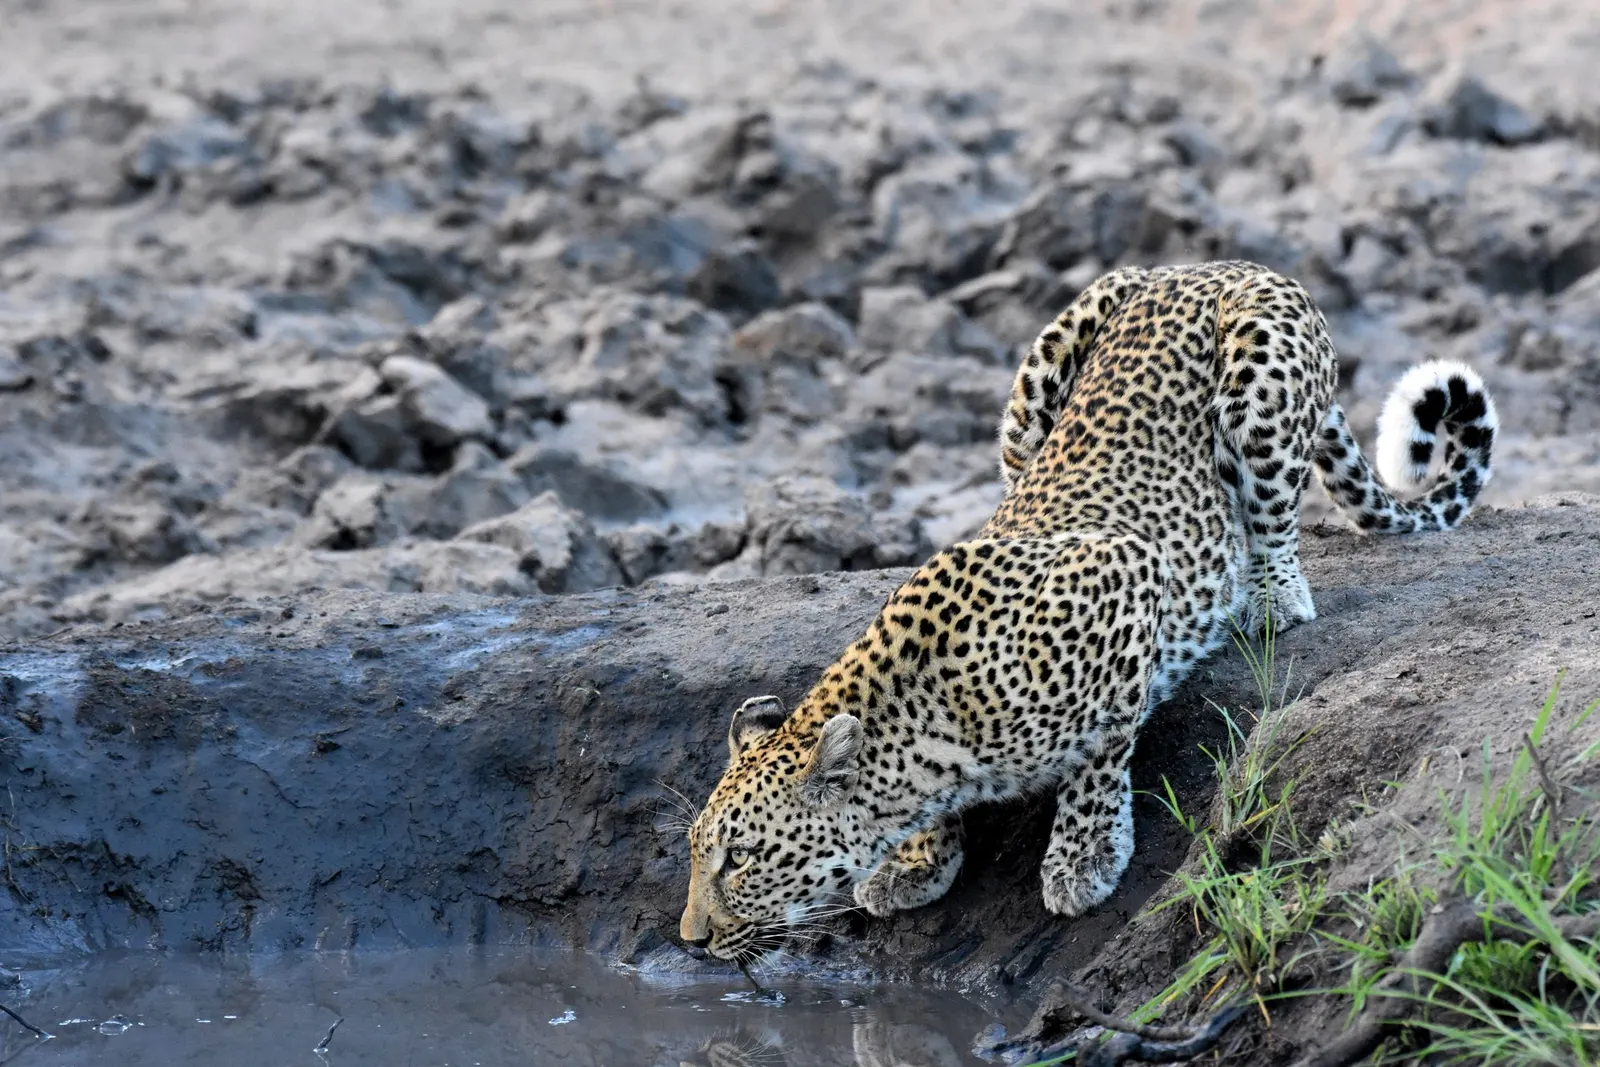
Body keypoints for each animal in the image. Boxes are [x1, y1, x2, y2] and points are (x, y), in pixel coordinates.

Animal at [679, 260, 1498, 965]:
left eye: (740, 858)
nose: (690, 937)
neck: (929, 728)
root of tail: (1207, 264)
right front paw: (918, 861)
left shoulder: (1127, 571)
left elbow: (1103, 744)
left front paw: (1085, 855)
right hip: (1037, 381)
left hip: (1259, 380)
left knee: (1271, 517)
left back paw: (1270, 597)